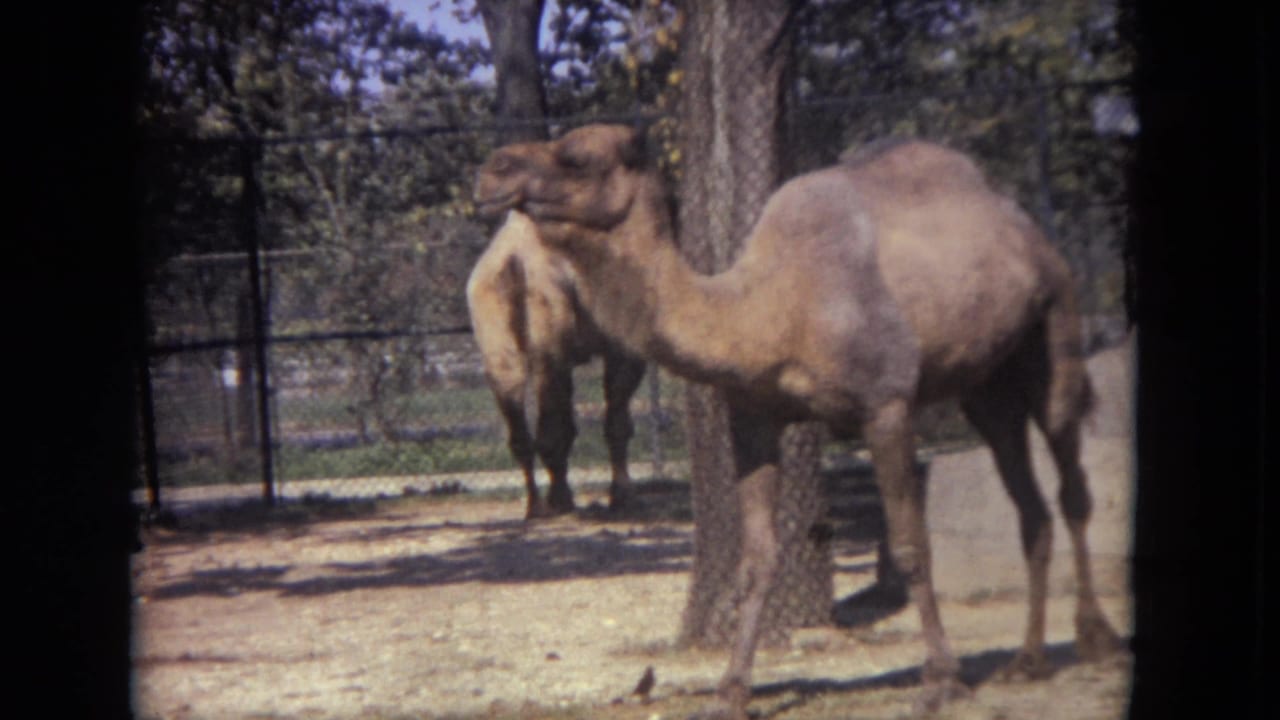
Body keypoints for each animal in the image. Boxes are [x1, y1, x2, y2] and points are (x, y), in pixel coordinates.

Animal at [465, 210, 646, 518]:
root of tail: (513, 261)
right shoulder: (624, 348)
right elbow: (617, 421)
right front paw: (623, 495)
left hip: (496, 341)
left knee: (517, 411)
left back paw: (536, 506)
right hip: (549, 321)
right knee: (551, 422)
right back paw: (560, 501)